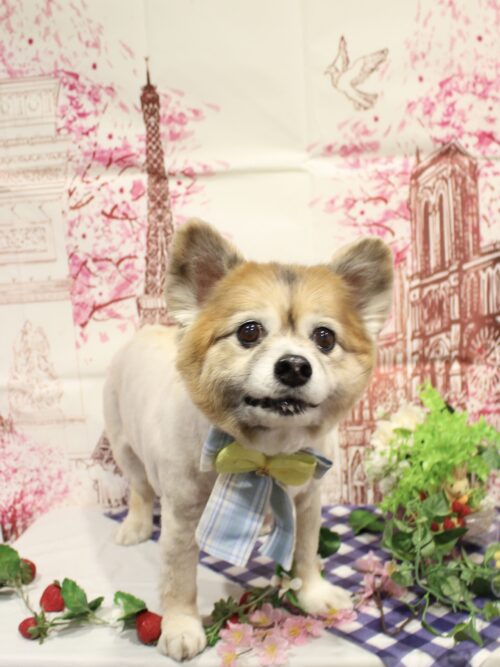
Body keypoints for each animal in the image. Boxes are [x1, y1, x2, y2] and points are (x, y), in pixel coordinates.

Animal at [103, 219, 393, 660]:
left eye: (325, 338)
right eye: (249, 331)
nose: (294, 366)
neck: (265, 450)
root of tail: (148, 330)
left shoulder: (308, 499)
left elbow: (306, 552)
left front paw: (313, 594)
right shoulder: (181, 515)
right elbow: (179, 578)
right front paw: (181, 626)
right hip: (124, 448)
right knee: (139, 491)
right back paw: (134, 526)